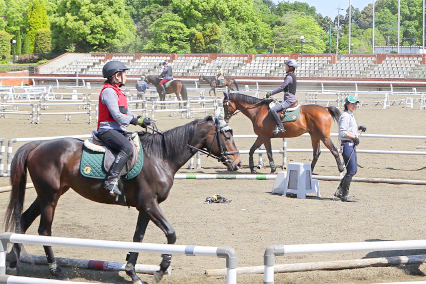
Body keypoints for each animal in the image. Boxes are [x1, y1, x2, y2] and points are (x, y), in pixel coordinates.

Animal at [5, 116, 241, 284]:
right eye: (226, 136)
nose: (237, 163)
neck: (161, 157)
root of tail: (37, 146)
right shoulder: (149, 205)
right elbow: (171, 234)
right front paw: (161, 269)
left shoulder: (144, 208)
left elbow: (137, 238)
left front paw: (132, 274)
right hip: (50, 196)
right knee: (44, 230)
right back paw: (55, 270)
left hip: (48, 194)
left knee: (23, 220)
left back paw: (12, 262)